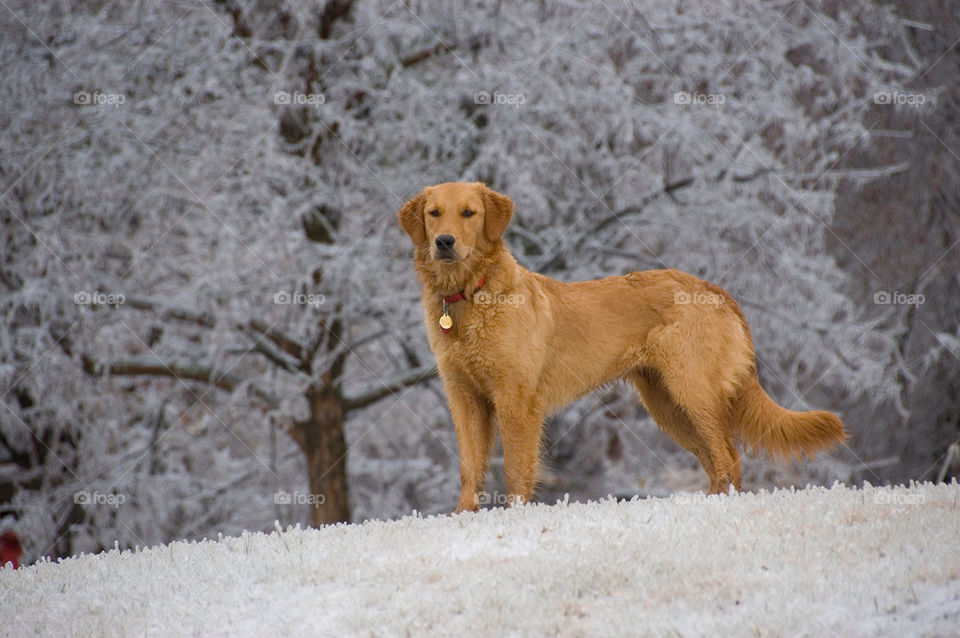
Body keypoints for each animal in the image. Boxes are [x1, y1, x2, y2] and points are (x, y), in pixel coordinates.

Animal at [398, 182, 848, 512]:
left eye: (468, 213)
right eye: (434, 213)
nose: (444, 242)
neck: (469, 295)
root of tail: (711, 288)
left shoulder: (517, 400)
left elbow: (516, 468)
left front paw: (515, 516)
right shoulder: (464, 397)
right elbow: (469, 467)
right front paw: (463, 518)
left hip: (693, 392)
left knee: (729, 457)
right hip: (668, 405)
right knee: (715, 461)